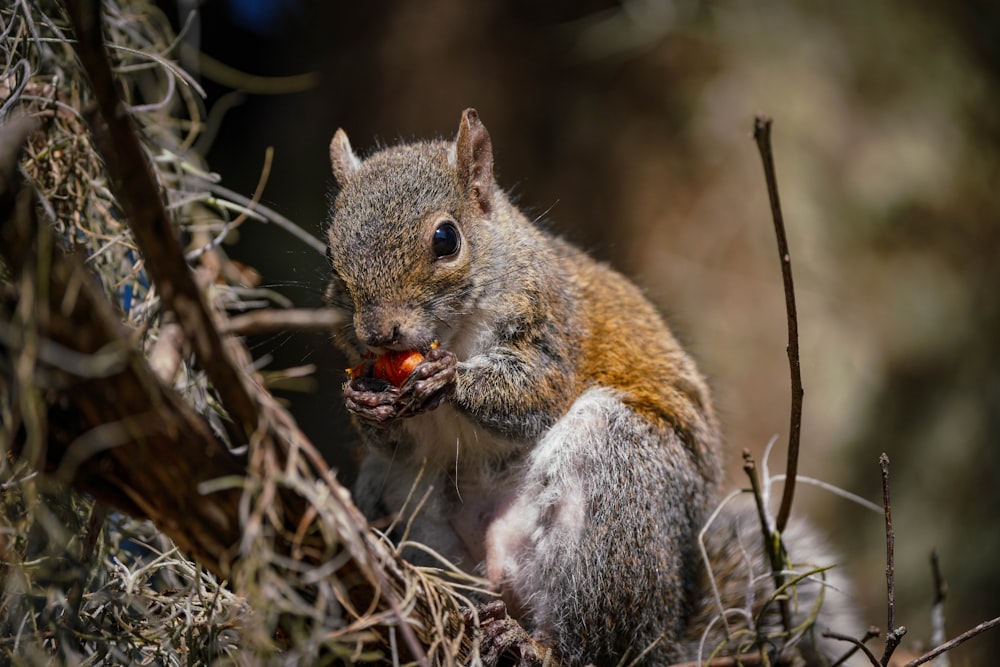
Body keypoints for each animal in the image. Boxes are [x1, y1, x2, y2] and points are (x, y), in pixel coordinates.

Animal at [324, 107, 856, 664]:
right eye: (332, 253)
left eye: (445, 239)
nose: (379, 332)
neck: (451, 333)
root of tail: (664, 637)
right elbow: (398, 441)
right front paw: (362, 401)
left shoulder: (554, 323)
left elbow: (533, 394)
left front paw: (447, 379)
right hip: (398, 504)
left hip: (615, 491)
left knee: (591, 644)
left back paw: (534, 645)